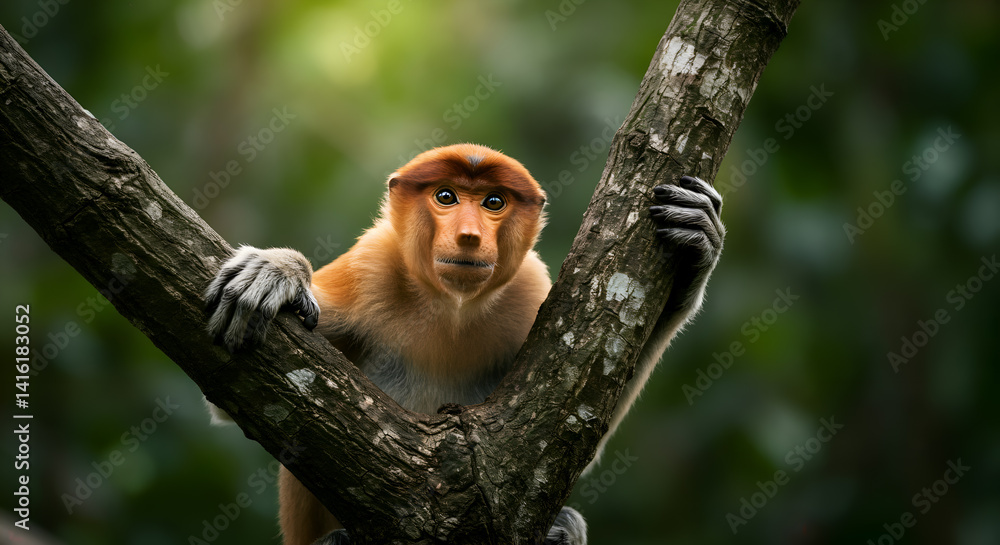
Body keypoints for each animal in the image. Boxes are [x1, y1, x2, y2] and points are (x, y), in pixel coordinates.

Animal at [203, 143, 724, 545]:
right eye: (446, 196)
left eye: (494, 201)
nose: (470, 237)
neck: (451, 309)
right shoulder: (368, 268)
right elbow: (229, 399)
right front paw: (278, 272)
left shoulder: (529, 290)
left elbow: (573, 434)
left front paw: (696, 246)